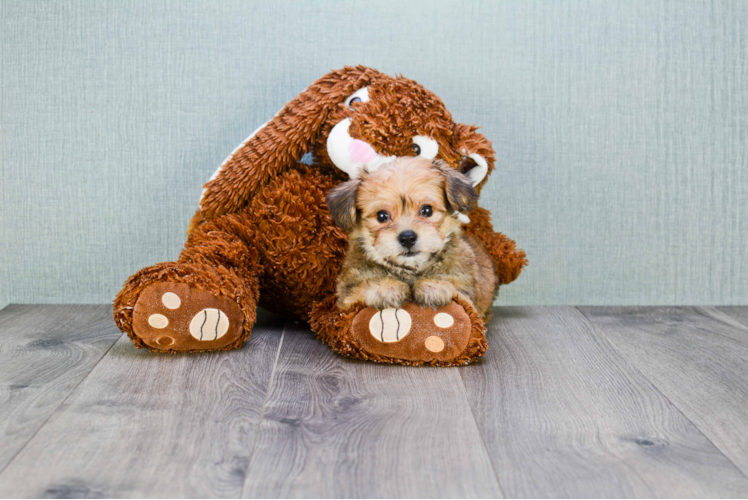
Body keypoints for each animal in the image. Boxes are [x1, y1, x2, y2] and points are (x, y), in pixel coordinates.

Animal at [326, 157, 496, 320]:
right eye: (382, 216)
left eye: (427, 210)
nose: (407, 238)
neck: (410, 270)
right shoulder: (345, 297)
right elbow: (359, 289)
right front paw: (385, 287)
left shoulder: (468, 298)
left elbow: (457, 291)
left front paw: (435, 286)